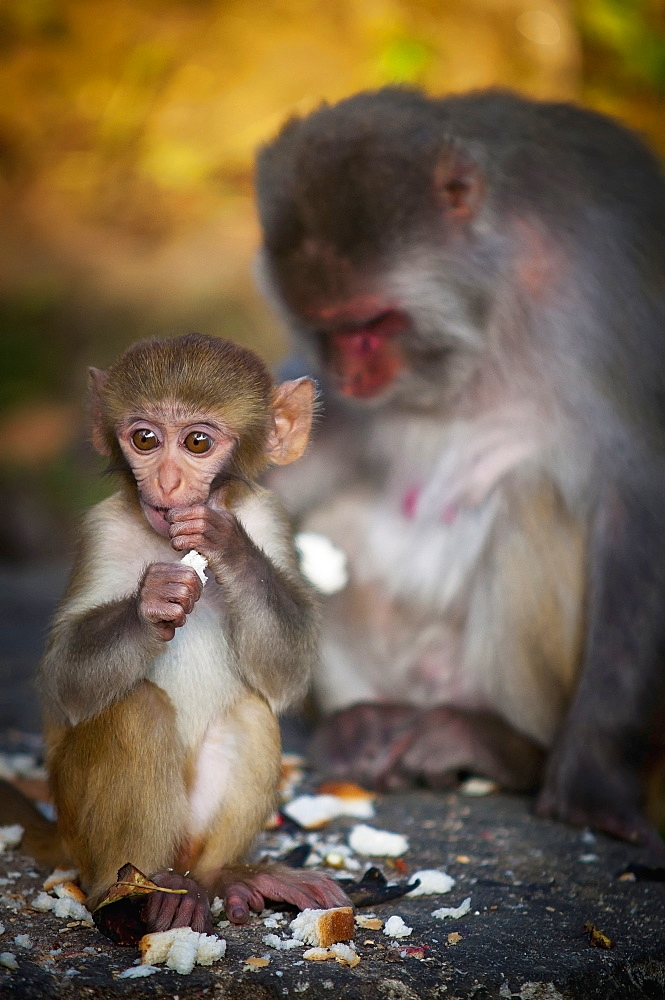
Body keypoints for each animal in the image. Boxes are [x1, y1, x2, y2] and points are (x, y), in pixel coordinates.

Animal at [22, 336, 344, 936]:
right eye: (145, 439)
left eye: (198, 442)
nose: (168, 483)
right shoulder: (100, 529)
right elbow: (65, 679)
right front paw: (153, 603)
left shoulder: (269, 515)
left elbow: (285, 673)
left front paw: (225, 543)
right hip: (83, 835)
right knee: (136, 710)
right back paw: (143, 893)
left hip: (195, 834)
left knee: (251, 711)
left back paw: (225, 878)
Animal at [255, 90, 665, 848]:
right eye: (324, 329)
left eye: (372, 323)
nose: (347, 375)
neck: (495, 294)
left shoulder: (608, 300)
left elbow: (638, 496)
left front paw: (592, 775)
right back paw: (361, 724)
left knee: (533, 494)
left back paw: (501, 745)